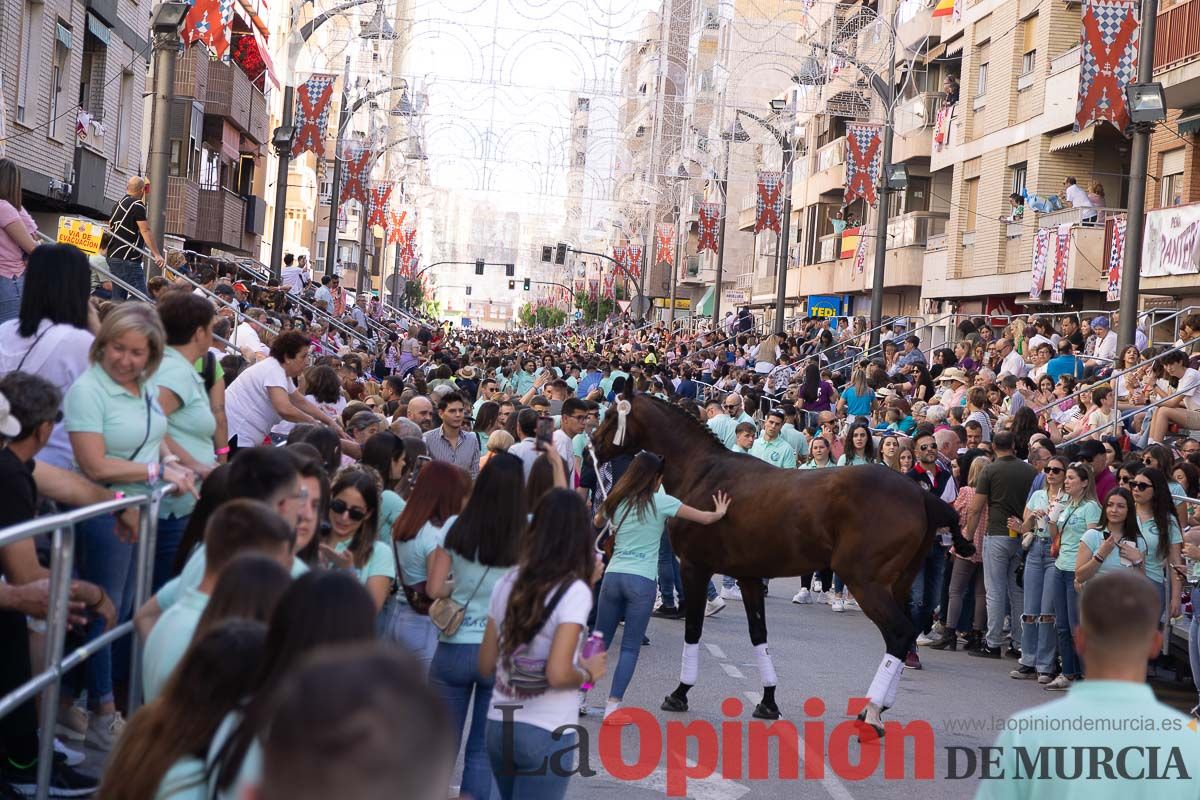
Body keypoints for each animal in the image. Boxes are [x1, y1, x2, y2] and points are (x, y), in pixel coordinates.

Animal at [590, 393, 974, 734]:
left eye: (609, 414)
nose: (592, 444)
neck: (704, 473)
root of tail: (921, 494)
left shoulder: (695, 568)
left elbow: (694, 629)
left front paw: (680, 693)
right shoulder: (748, 576)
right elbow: (758, 635)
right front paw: (768, 701)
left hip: (866, 584)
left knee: (899, 633)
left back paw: (873, 712)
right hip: (898, 584)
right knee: (906, 635)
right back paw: (878, 708)